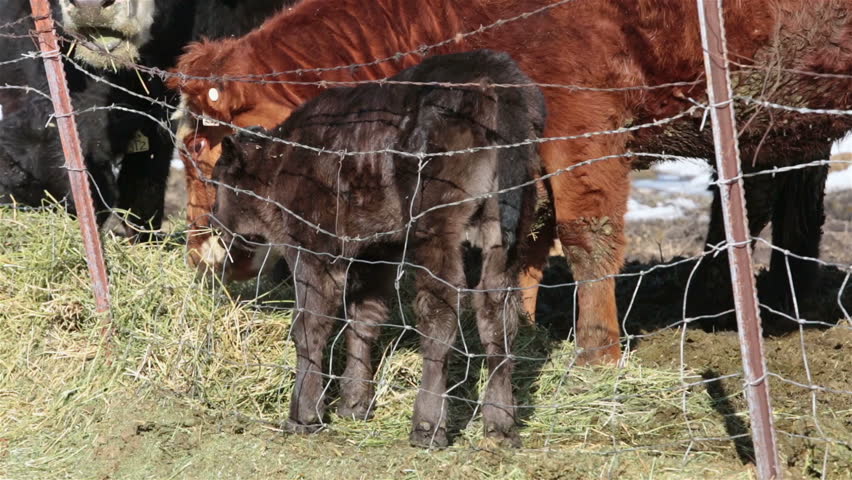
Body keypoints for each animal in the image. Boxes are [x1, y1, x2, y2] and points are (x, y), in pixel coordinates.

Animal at [170, 0, 852, 364]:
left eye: (217, 151)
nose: (202, 252)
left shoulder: (584, 123)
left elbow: (586, 235)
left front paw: (596, 351)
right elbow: (524, 233)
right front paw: (514, 331)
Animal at [210, 50, 546, 448]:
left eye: (216, 181)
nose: (213, 221)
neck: (283, 163)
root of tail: (492, 72)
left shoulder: (314, 249)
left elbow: (309, 326)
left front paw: (303, 415)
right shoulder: (377, 251)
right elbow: (364, 318)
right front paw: (354, 405)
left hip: (436, 228)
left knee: (440, 313)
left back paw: (427, 427)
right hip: (506, 231)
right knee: (498, 317)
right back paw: (500, 426)